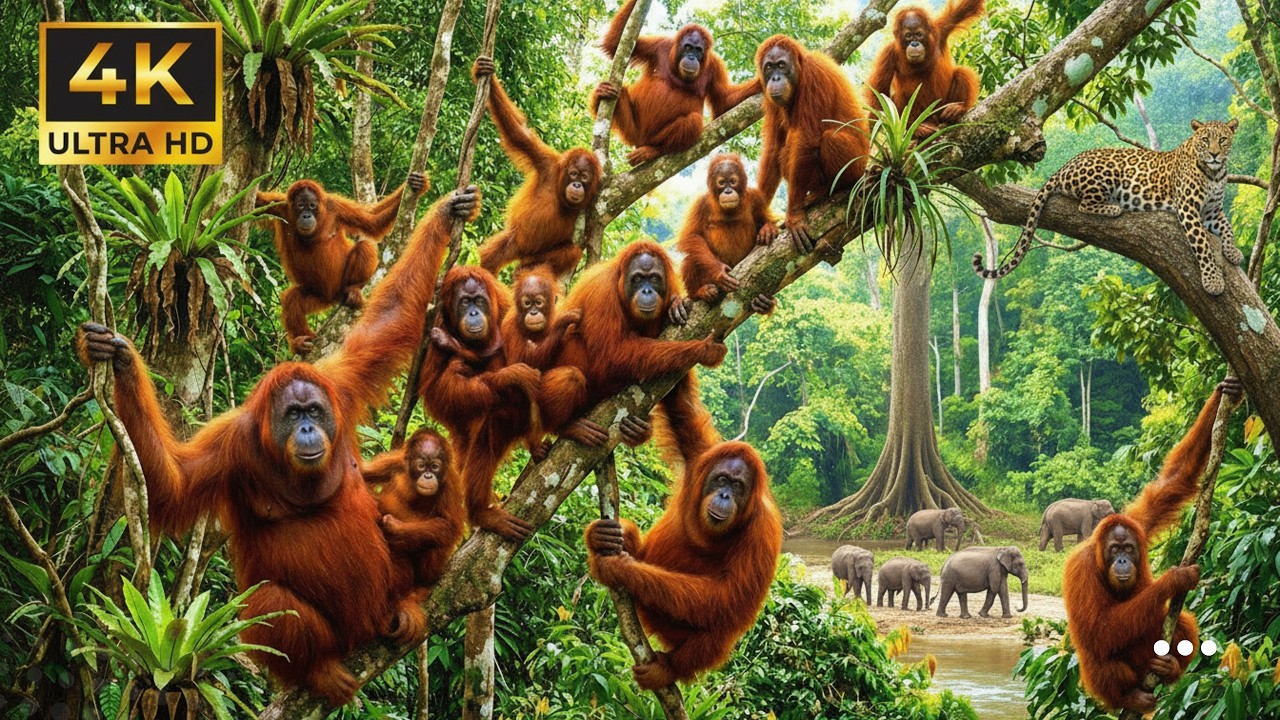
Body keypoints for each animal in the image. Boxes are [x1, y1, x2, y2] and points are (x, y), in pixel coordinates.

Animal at [973, 119, 1241, 295]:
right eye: (1205, 140)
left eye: (1223, 140)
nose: (1215, 155)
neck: (1215, 174)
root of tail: (1065, 165)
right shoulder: (1187, 208)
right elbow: (1203, 245)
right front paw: (1213, 281)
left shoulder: (1212, 212)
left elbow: (1227, 228)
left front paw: (1233, 252)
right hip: (1107, 172)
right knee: (1084, 204)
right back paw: (1113, 207)